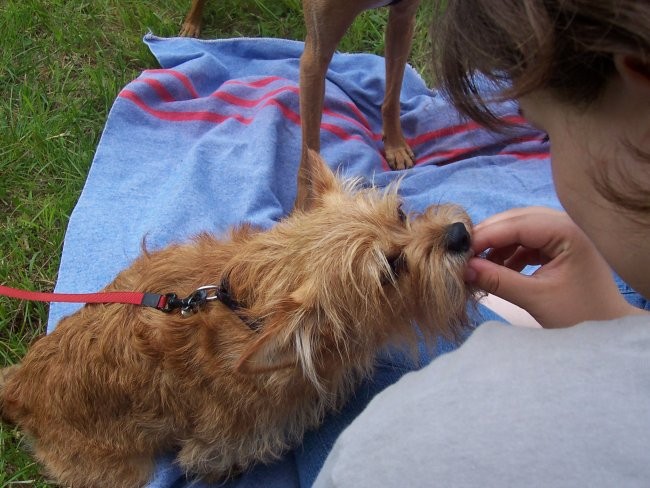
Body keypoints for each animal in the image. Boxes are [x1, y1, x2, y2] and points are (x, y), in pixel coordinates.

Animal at [0, 151, 470, 486]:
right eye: (390, 270)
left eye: (401, 214)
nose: (461, 234)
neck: (251, 305)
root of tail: (18, 385)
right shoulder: (222, 440)